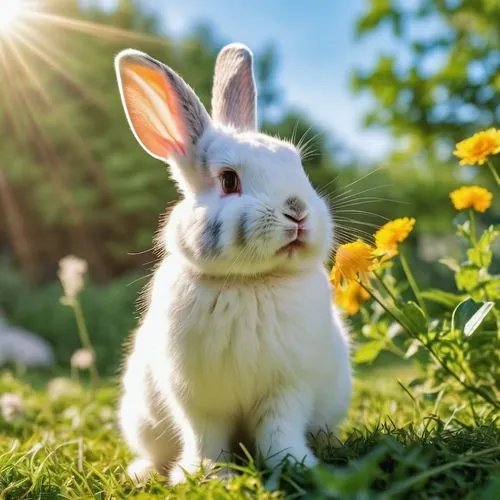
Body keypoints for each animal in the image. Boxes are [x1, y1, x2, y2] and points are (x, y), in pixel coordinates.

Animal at [115, 43, 354, 484]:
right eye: (229, 180)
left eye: (297, 166)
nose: (298, 212)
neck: (251, 282)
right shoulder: (196, 397)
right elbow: (205, 436)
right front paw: (205, 475)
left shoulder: (288, 388)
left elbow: (280, 430)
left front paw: (295, 464)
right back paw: (143, 471)